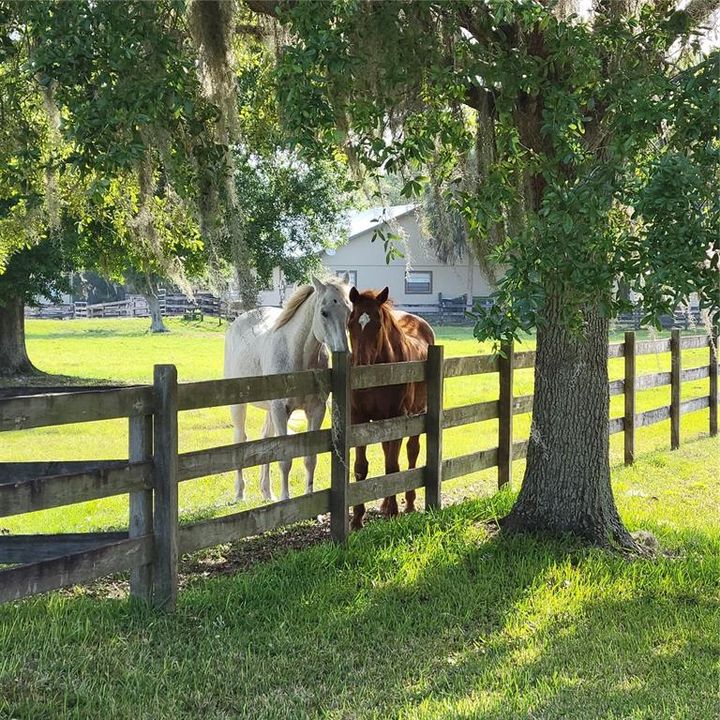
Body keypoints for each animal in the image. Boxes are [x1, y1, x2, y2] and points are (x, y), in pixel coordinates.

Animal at [222, 276, 352, 500]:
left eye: (349, 310)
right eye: (324, 312)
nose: (343, 351)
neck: (296, 354)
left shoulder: (316, 410)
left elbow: (310, 459)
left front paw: (310, 498)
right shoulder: (280, 410)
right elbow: (285, 460)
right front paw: (285, 498)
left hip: (269, 410)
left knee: (265, 439)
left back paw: (267, 492)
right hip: (240, 406)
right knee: (240, 438)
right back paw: (240, 493)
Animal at [348, 286, 434, 528]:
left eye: (378, 324)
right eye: (350, 323)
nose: (360, 369)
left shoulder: (397, 417)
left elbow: (392, 467)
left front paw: (394, 512)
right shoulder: (358, 419)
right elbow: (361, 467)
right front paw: (357, 519)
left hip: (417, 413)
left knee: (412, 452)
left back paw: (409, 503)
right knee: (388, 450)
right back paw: (385, 504)